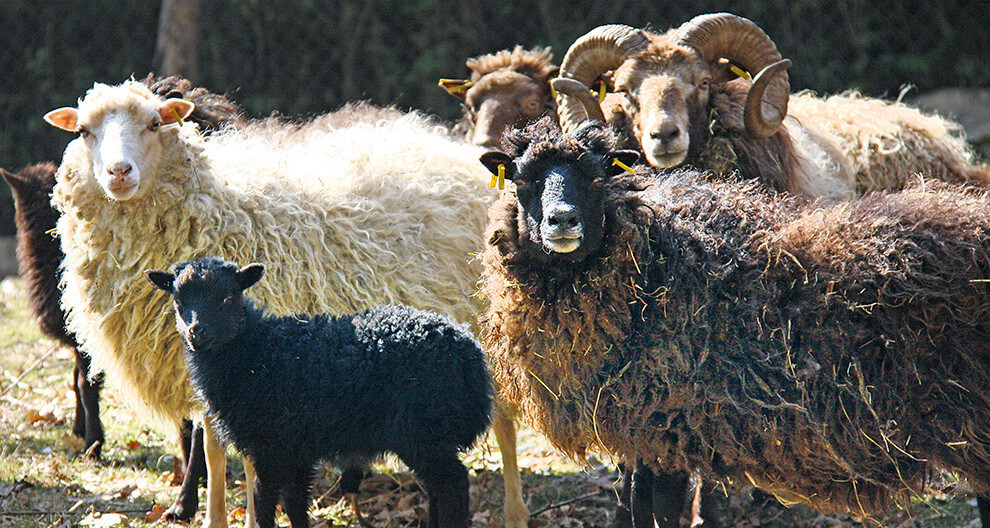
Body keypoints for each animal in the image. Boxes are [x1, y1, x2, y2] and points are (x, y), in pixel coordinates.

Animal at [145, 256, 492, 528]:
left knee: (454, 484)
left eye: (228, 298)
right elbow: (295, 505)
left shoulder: (271, 445)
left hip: (424, 430)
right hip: (429, 436)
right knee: (438, 489)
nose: (197, 332)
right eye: (178, 302)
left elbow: (264, 502)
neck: (258, 351)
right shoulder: (295, 449)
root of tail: (471, 355)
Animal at [477, 118, 990, 526]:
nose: (561, 221)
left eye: (596, 174)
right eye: (521, 178)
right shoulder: (644, 434)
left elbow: (660, 511)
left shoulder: (669, 427)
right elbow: (635, 505)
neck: (657, 261)